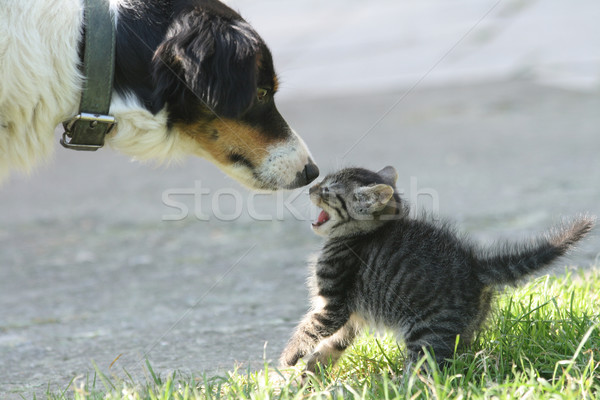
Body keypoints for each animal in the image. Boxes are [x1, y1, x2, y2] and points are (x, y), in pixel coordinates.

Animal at [278, 166, 592, 372]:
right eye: (322, 183)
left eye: (327, 191)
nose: (310, 188)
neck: (358, 236)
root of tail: (473, 265)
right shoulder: (352, 316)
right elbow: (331, 345)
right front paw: (310, 376)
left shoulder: (334, 304)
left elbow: (310, 328)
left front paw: (289, 357)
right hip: (462, 330)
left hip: (427, 334)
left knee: (424, 374)